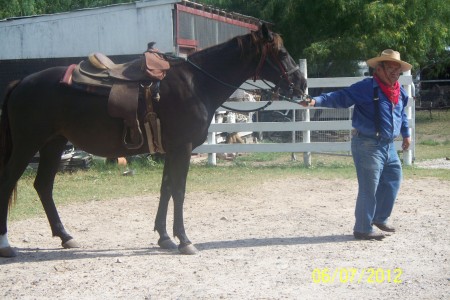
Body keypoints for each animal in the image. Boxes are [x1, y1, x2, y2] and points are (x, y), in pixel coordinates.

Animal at [0, 24, 306, 258]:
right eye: (281, 53)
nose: (301, 84)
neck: (195, 84)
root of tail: (21, 82)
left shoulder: (170, 150)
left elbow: (166, 189)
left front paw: (164, 237)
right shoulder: (182, 148)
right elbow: (179, 191)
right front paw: (184, 240)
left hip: (53, 144)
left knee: (43, 186)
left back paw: (65, 235)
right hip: (28, 145)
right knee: (10, 182)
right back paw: (6, 244)